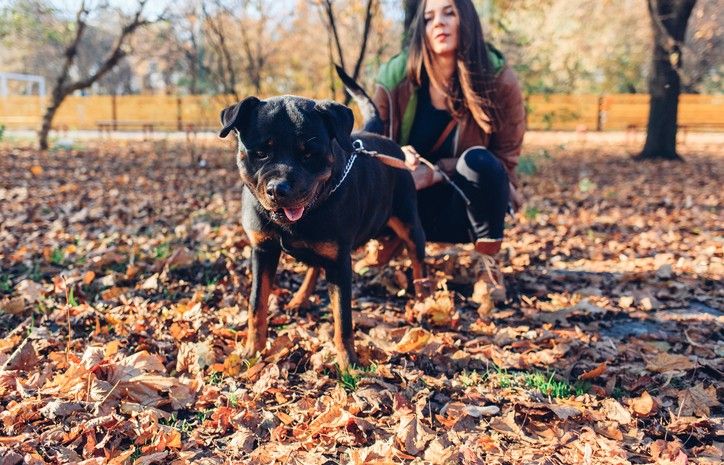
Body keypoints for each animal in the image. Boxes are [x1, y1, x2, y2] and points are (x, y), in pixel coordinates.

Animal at [218, 93, 428, 370]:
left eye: (308, 154)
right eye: (261, 153)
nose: (278, 189)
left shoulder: (339, 262)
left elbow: (342, 318)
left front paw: (348, 363)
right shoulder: (263, 249)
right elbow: (256, 304)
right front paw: (253, 350)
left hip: (408, 219)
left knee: (416, 259)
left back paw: (425, 301)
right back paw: (300, 298)